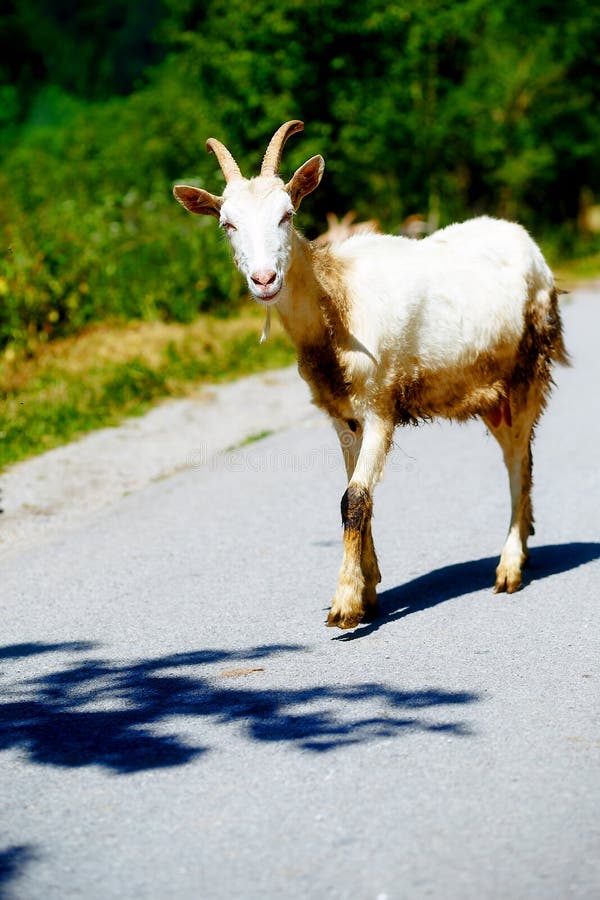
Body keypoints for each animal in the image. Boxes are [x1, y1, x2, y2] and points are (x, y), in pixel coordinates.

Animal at [172, 119, 568, 628]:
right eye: (227, 224)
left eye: (287, 215)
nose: (264, 280)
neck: (339, 299)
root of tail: (526, 241)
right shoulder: (343, 414)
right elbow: (356, 495)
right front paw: (369, 590)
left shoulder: (381, 403)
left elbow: (355, 499)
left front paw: (344, 604)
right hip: (489, 389)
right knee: (519, 457)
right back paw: (525, 545)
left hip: (527, 368)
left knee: (518, 461)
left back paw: (510, 567)